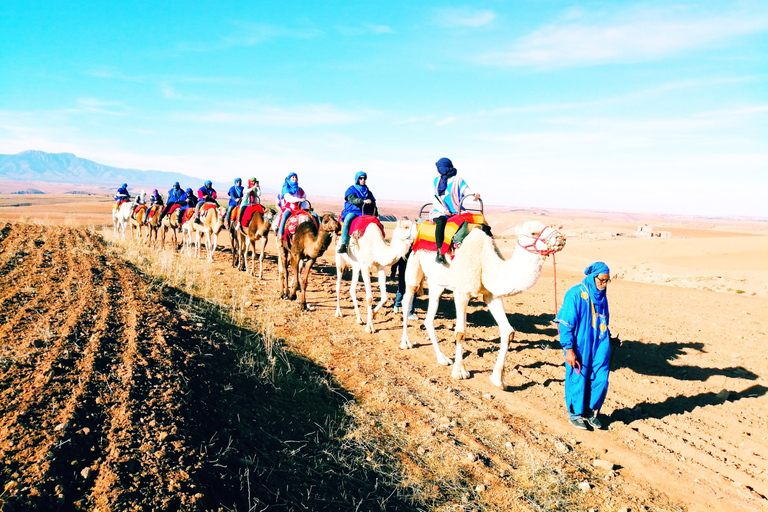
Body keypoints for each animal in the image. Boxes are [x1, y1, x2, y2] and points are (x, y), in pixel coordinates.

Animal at [400, 220, 568, 388]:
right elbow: (460, 332)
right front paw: (460, 371)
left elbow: (508, 332)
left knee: (429, 317)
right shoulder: (461, 292)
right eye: (534, 233)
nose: (561, 238)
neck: (485, 261)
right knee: (407, 300)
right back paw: (405, 343)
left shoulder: (492, 295)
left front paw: (498, 379)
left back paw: (442, 358)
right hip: (414, 265)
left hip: (436, 283)